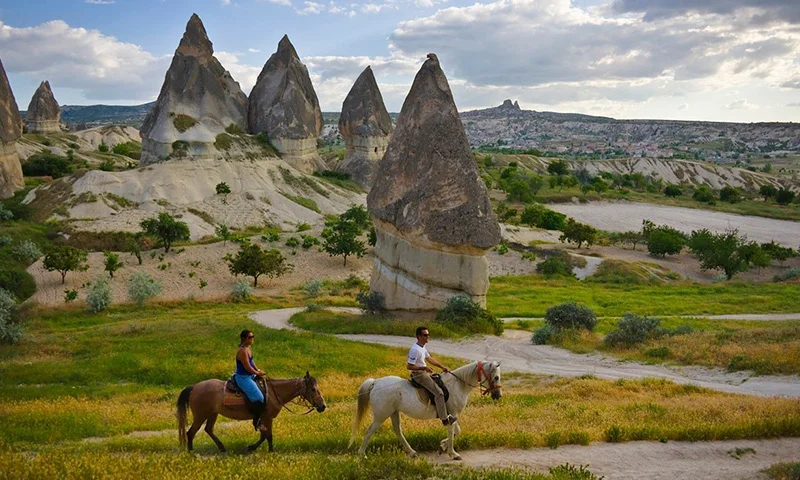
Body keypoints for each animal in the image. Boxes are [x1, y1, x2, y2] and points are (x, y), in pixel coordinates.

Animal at [176, 372, 324, 454]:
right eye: (313, 389)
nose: (323, 406)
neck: (273, 393)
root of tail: (194, 387)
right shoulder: (266, 418)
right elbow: (267, 436)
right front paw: (264, 450)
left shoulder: (264, 419)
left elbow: (265, 436)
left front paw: (259, 449)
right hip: (200, 415)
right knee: (191, 432)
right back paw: (191, 452)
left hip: (213, 413)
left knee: (208, 429)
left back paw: (222, 448)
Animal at [348, 362, 500, 460]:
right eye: (497, 377)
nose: (498, 395)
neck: (458, 384)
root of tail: (376, 382)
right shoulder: (452, 414)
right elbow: (452, 432)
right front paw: (453, 453)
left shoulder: (452, 415)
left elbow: (457, 431)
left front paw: (442, 447)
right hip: (381, 415)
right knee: (369, 431)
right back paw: (362, 454)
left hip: (394, 412)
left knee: (398, 431)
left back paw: (412, 452)